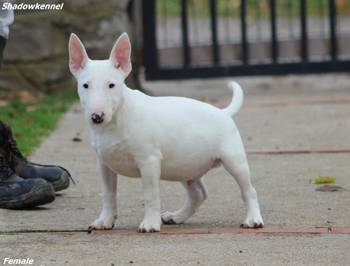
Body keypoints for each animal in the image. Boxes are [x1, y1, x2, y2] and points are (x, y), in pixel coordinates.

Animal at [68, 31, 264, 233]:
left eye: (111, 85)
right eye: (85, 85)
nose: (97, 116)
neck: (117, 119)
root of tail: (223, 112)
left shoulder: (149, 161)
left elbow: (150, 195)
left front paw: (150, 224)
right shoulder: (104, 164)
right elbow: (108, 194)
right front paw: (104, 221)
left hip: (234, 160)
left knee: (249, 190)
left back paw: (253, 219)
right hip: (186, 167)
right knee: (198, 194)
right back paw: (176, 217)